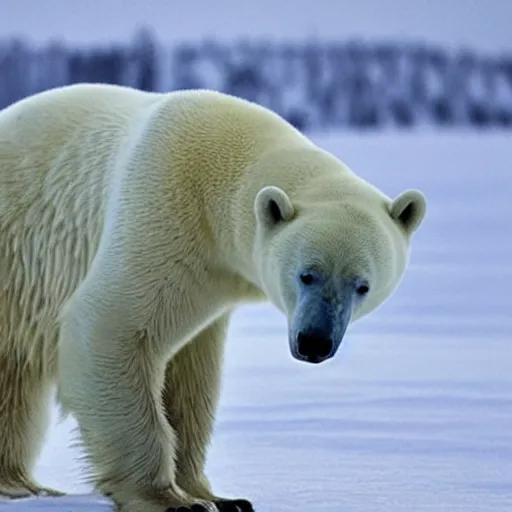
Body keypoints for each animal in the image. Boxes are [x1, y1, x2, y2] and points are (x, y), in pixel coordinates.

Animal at [0, 82, 424, 510]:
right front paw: (169, 498)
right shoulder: (163, 205)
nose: (315, 342)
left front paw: (219, 497)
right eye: (307, 275)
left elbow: (190, 378)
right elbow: (112, 326)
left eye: (362, 286)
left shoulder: (213, 282)